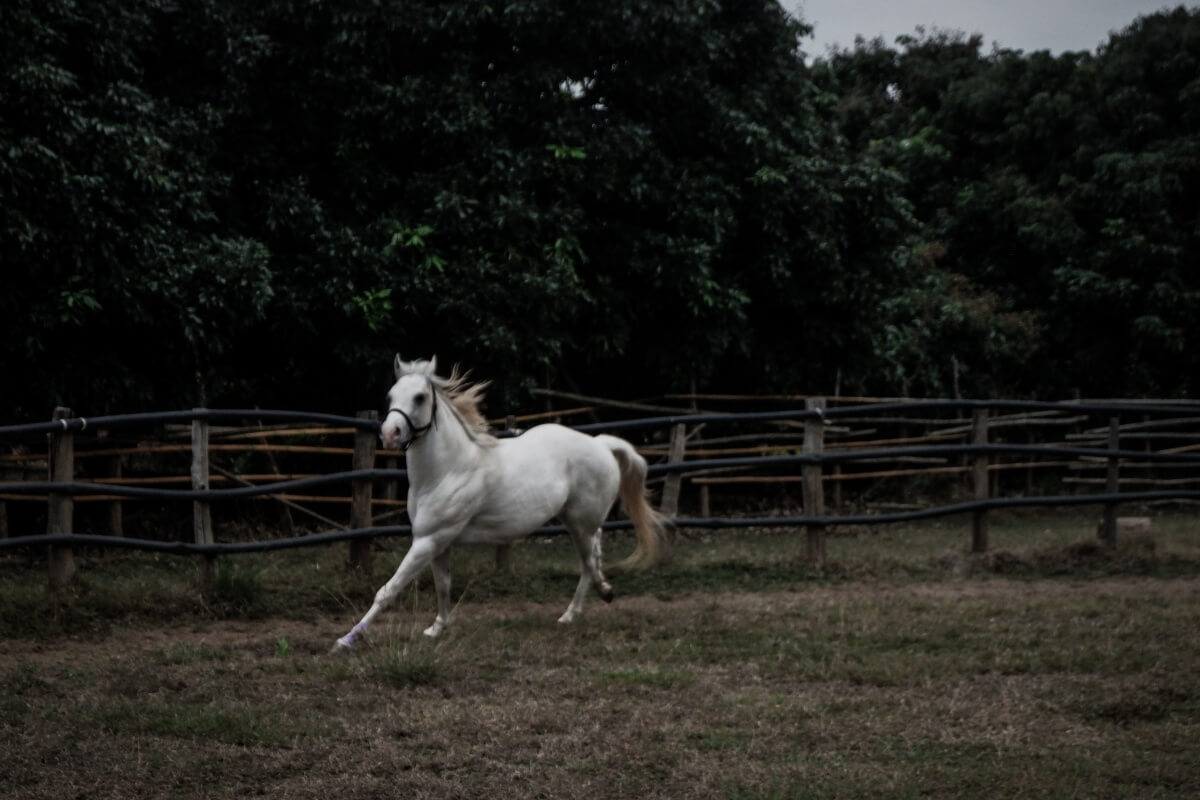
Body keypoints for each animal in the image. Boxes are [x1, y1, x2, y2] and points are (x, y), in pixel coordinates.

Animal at [332, 355, 667, 651]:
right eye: (390, 395)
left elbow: (388, 590)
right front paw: (437, 628)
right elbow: (443, 585)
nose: (390, 433)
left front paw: (346, 640)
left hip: (580, 523)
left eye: (419, 397)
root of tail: (600, 444)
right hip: (576, 521)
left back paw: (581, 606)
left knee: (589, 561)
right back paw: (592, 599)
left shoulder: (428, 540)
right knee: (594, 553)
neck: (448, 470)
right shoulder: (438, 542)